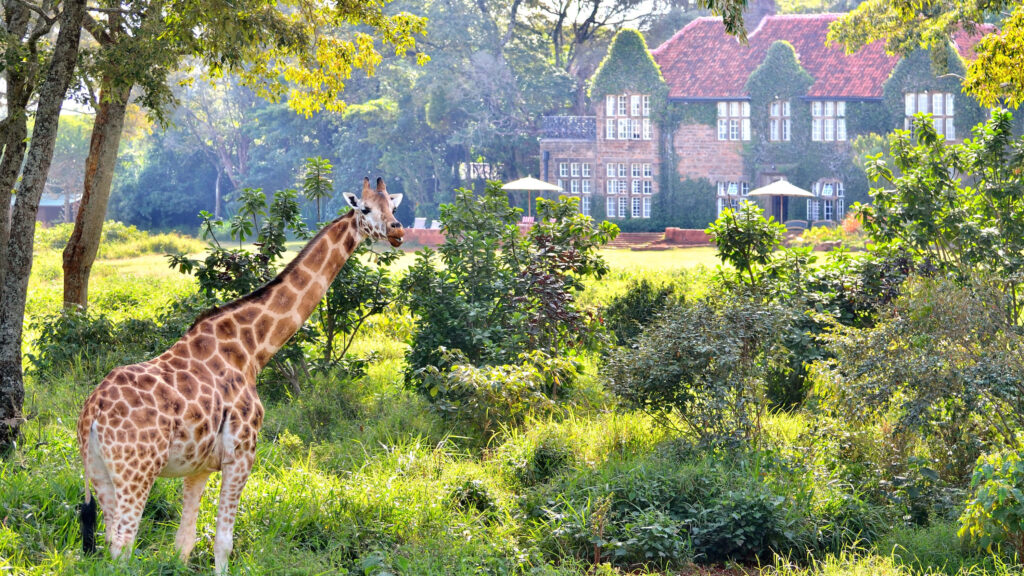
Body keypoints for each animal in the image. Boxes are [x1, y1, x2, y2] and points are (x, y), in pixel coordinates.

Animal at [76, 177, 403, 573]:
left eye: (393, 207)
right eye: (365, 209)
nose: (398, 231)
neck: (252, 349)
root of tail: (93, 412)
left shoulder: (198, 466)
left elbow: (184, 542)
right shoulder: (242, 453)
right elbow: (223, 542)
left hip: (98, 470)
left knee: (110, 539)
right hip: (137, 470)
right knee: (123, 543)